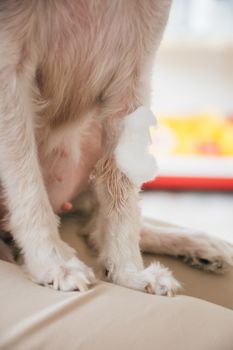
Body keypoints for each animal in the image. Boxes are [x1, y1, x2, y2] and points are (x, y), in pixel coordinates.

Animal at [0, 0, 233, 296]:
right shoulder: (10, 71)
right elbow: (26, 182)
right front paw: (53, 262)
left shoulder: (131, 80)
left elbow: (122, 197)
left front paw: (130, 273)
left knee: (95, 228)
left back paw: (199, 244)